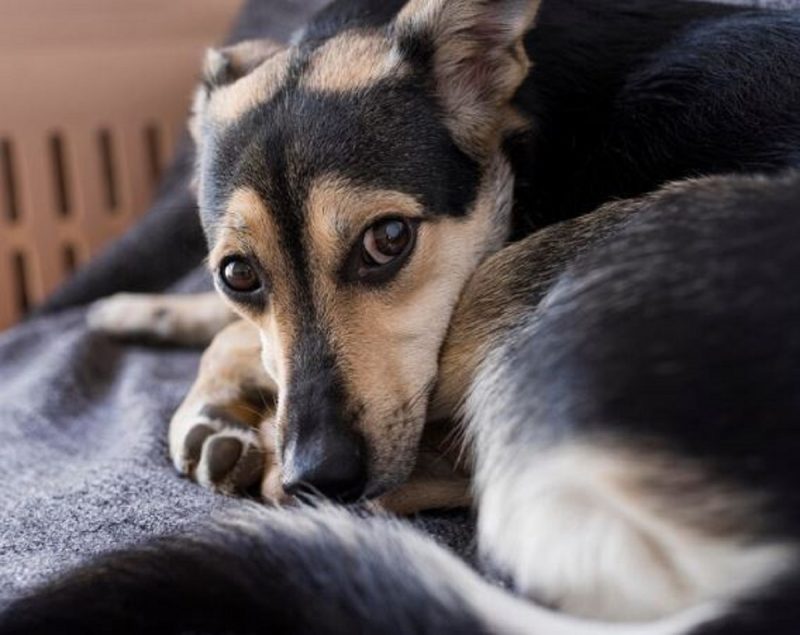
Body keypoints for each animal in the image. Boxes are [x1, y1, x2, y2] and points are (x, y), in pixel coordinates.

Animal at [7, 0, 800, 632]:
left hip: (531, 274)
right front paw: (142, 311)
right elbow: (234, 326)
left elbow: (237, 341)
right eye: (238, 273)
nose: (318, 476)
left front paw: (213, 401)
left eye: (388, 239)